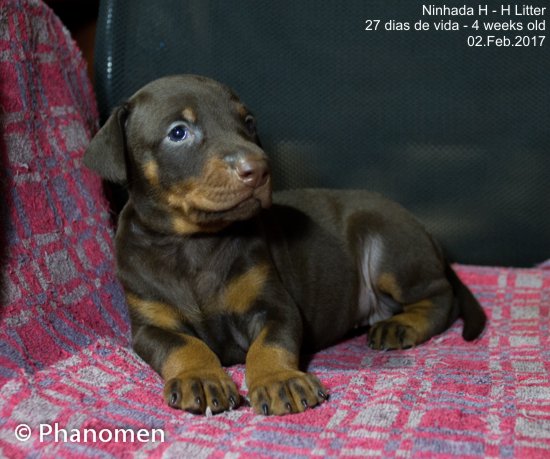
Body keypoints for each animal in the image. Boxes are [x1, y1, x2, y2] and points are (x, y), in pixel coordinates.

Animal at [84, 75, 486, 416]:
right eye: (178, 132)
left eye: (248, 122)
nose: (259, 169)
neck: (194, 244)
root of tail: (426, 233)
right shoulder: (149, 324)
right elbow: (182, 344)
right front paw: (200, 377)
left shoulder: (276, 307)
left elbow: (269, 345)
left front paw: (280, 381)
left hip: (389, 246)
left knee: (441, 295)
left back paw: (401, 325)